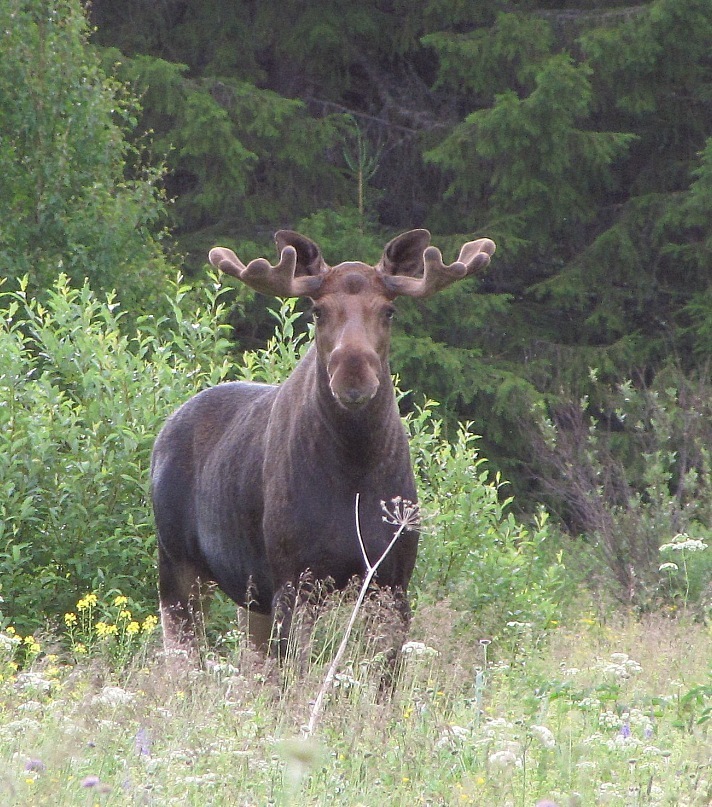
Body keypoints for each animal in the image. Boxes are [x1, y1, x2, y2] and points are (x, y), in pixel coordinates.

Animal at [150, 227, 496, 656]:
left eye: (389, 310)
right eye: (317, 310)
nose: (353, 375)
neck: (355, 467)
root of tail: (163, 435)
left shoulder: (392, 582)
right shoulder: (294, 581)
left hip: (250, 596)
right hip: (177, 566)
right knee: (182, 656)